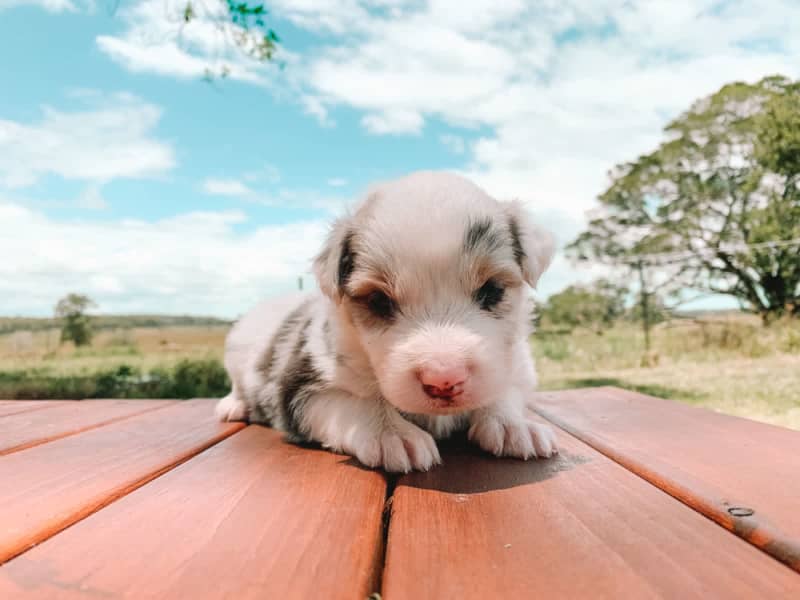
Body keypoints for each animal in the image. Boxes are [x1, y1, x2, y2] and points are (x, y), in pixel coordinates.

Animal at [216, 171, 560, 472]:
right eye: (379, 301)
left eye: (492, 290)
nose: (444, 381)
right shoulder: (301, 387)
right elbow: (356, 402)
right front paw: (393, 433)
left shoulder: (517, 368)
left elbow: (505, 392)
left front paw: (514, 426)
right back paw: (234, 405)